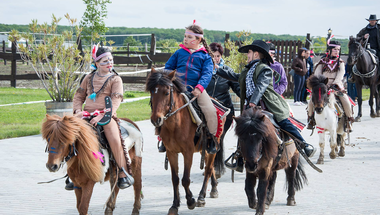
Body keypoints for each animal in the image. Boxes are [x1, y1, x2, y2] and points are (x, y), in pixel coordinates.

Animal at [145, 69, 223, 215]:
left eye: (166, 92)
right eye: (152, 92)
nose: (156, 119)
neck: (176, 124)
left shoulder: (188, 152)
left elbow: (185, 179)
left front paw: (190, 201)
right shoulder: (171, 153)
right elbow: (175, 179)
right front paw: (175, 205)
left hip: (212, 148)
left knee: (209, 169)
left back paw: (201, 196)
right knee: (209, 168)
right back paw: (213, 189)